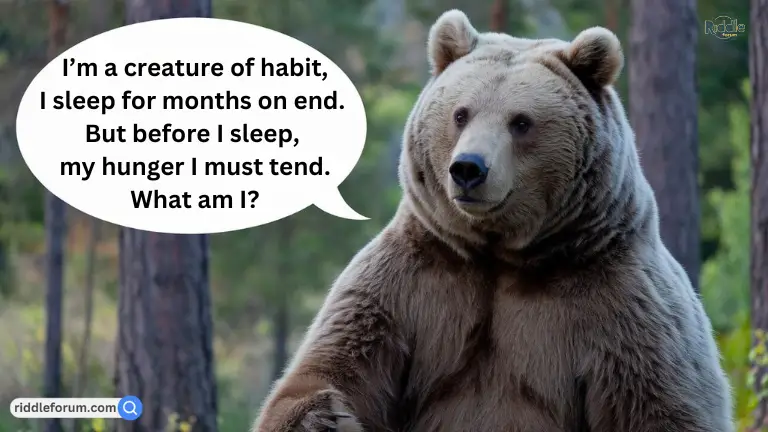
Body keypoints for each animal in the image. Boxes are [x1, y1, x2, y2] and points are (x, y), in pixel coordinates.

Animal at [252, 9, 734, 432]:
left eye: (521, 122)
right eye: (460, 113)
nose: (468, 168)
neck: (500, 253)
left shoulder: (618, 302)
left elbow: (659, 404)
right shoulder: (413, 283)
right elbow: (333, 364)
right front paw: (325, 417)